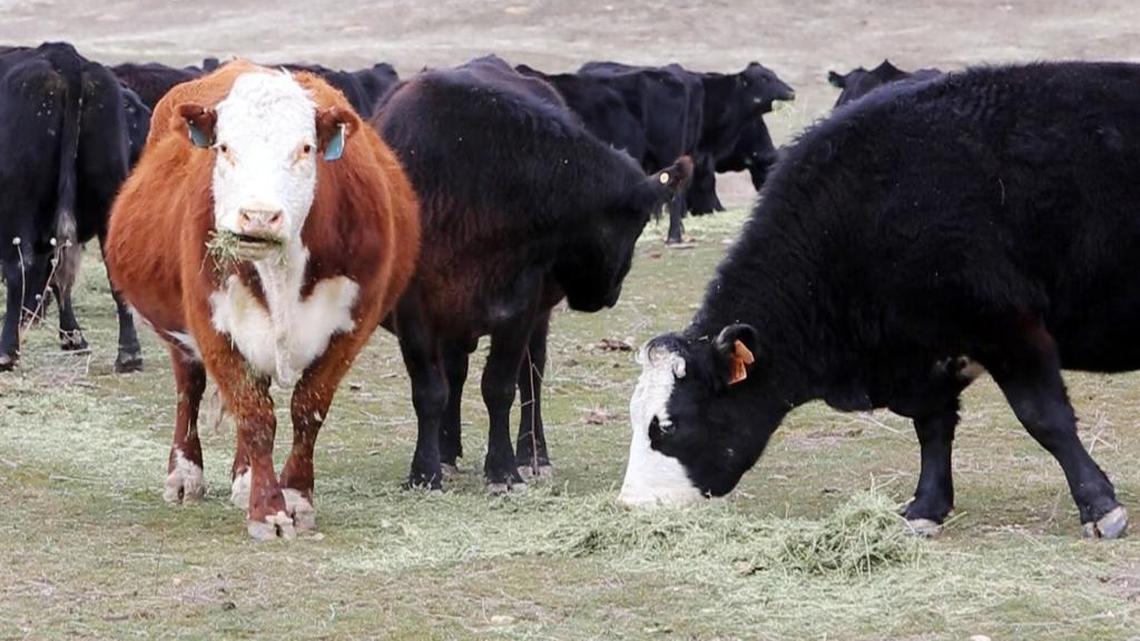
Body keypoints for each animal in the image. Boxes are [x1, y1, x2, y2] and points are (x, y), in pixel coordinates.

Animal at [1, 42, 143, 373]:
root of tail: (63, 56)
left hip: (18, 203)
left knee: (20, 267)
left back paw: (7, 351)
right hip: (108, 189)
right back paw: (127, 354)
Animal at [105, 61, 420, 539]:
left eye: (305, 148)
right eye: (225, 147)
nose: (258, 216)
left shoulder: (350, 328)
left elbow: (307, 411)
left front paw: (295, 497)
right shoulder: (211, 324)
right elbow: (255, 417)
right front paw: (268, 511)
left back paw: (244, 479)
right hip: (183, 335)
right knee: (189, 389)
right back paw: (185, 476)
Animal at [616, 62, 1139, 540]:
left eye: (668, 426)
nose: (633, 504)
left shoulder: (1008, 329)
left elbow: (1045, 418)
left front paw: (1100, 508)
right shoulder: (926, 354)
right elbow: (933, 427)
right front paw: (925, 508)